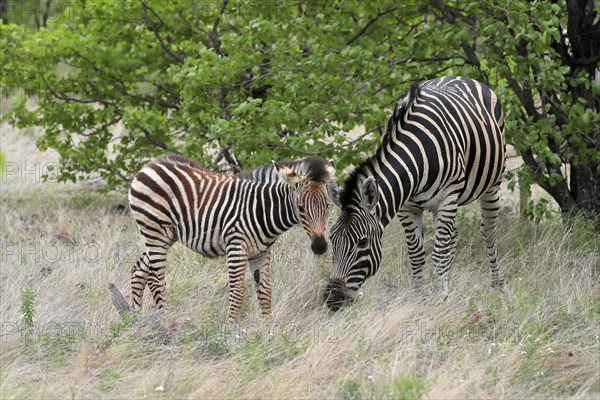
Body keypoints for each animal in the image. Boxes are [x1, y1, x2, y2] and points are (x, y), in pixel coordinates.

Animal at [128, 152, 338, 324]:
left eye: (327, 205)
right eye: (300, 207)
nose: (320, 246)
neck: (261, 208)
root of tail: (151, 164)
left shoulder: (261, 252)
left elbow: (265, 293)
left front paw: (268, 334)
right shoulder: (236, 247)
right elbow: (237, 293)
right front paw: (231, 334)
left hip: (164, 236)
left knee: (138, 270)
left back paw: (135, 321)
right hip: (155, 231)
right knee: (156, 278)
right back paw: (165, 322)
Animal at [326, 77, 504, 310]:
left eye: (362, 242)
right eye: (331, 239)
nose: (332, 299)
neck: (416, 158)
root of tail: (461, 77)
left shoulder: (447, 198)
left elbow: (438, 253)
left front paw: (441, 298)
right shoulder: (406, 206)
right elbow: (417, 254)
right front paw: (420, 297)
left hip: (491, 185)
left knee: (489, 232)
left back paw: (497, 285)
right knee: (452, 237)